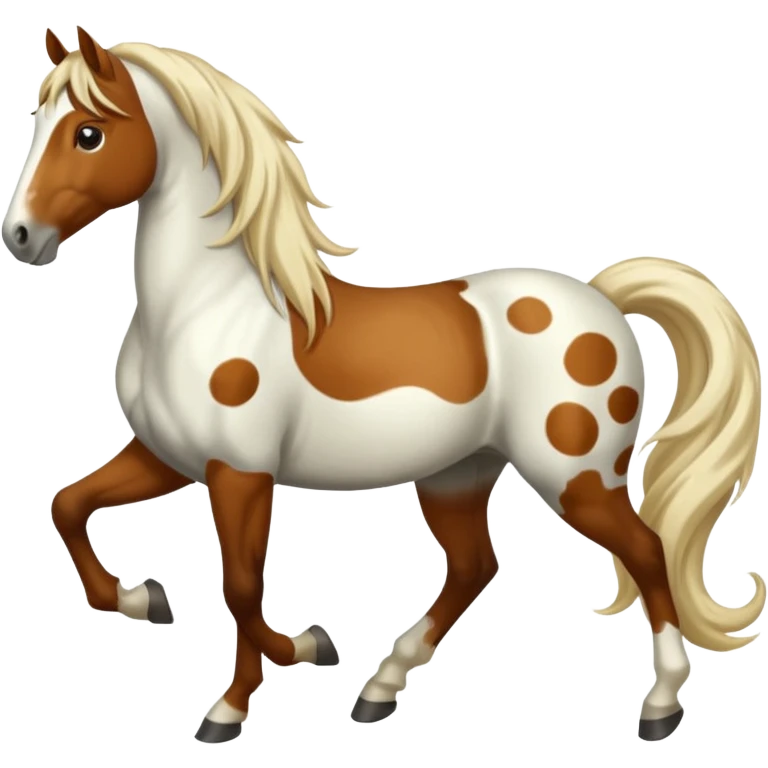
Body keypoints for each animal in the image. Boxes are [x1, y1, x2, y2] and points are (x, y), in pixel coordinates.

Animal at [3, 26, 764, 744]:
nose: (20, 237)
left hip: (575, 475)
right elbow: (68, 505)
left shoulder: (240, 472)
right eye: (37, 123)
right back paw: (378, 691)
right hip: (458, 473)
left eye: (88, 132)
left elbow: (242, 587)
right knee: (474, 566)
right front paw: (150, 602)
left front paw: (249, 694)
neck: (203, 308)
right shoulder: (169, 457)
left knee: (646, 551)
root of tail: (602, 297)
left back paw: (660, 706)